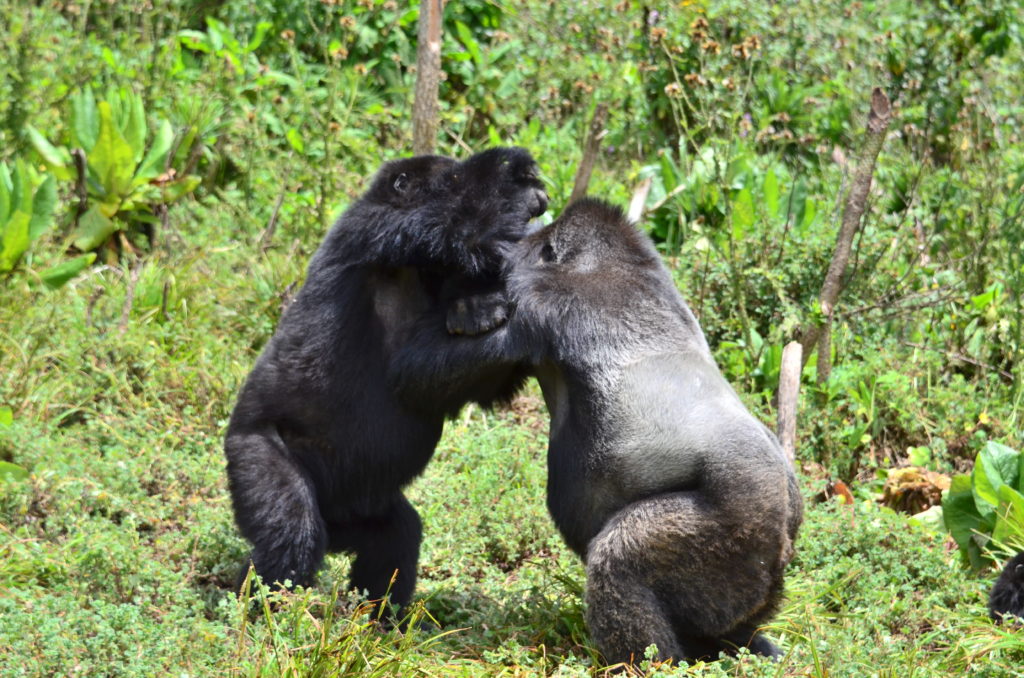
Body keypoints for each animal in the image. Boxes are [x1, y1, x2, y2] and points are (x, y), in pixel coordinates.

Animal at [224, 148, 547, 612]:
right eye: (449, 179)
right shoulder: (380, 230)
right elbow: (461, 229)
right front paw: (516, 181)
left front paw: (477, 304)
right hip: (252, 451)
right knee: (289, 530)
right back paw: (260, 614)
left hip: (358, 510)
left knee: (395, 536)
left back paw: (377, 616)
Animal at [391, 197, 802, 663]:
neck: (608, 262)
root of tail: (782, 525)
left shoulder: (538, 300)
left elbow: (417, 374)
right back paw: (747, 645)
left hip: (737, 530)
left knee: (619, 563)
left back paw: (647, 664)